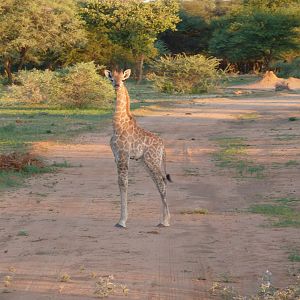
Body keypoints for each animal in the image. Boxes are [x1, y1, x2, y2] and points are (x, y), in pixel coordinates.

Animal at [105, 68, 171, 227]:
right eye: (112, 79)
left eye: (122, 79)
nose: (116, 85)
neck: (118, 126)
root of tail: (163, 147)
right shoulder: (116, 156)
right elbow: (120, 183)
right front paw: (121, 219)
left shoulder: (123, 155)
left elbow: (123, 183)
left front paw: (122, 221)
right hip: (145, 162)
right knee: (159, 182)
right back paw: (163, 219)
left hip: (152, 161)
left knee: (161, 182)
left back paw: (165, 221)